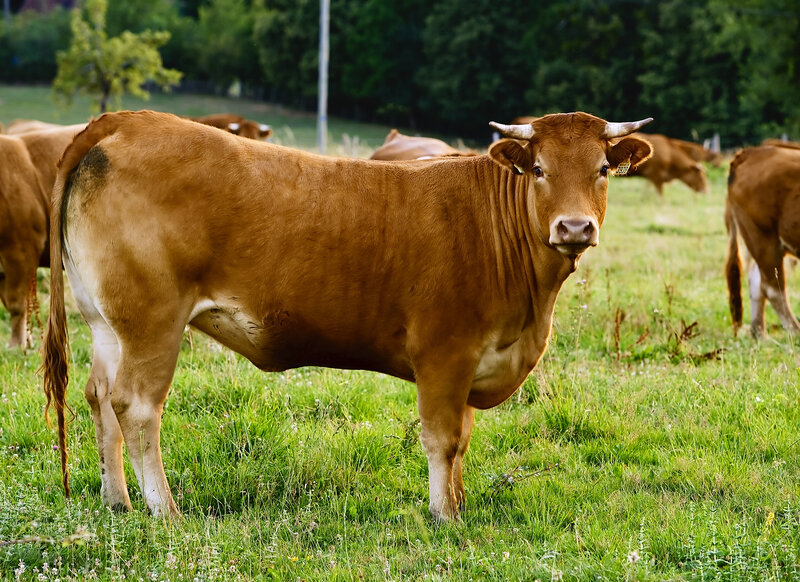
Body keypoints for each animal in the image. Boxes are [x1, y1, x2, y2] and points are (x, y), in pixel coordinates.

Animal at [42, 110, 652, 521]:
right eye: (540, 169)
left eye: (602, 168)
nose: (574, 227)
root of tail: (127, 122)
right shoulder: (444, 354)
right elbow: (443, 438)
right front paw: (444, 516)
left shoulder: (471, 362)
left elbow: (463, 438)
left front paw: (457, 502)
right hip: (154, 323)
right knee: (136, 406)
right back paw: (164, 509)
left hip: (107, 324)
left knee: (100, 397)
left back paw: (117, 500)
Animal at [725, 142, 800, 338]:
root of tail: (753, 151)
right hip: (763, 236)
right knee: (772, 288)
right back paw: (795, 331)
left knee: (756, 280)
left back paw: (759, 333)